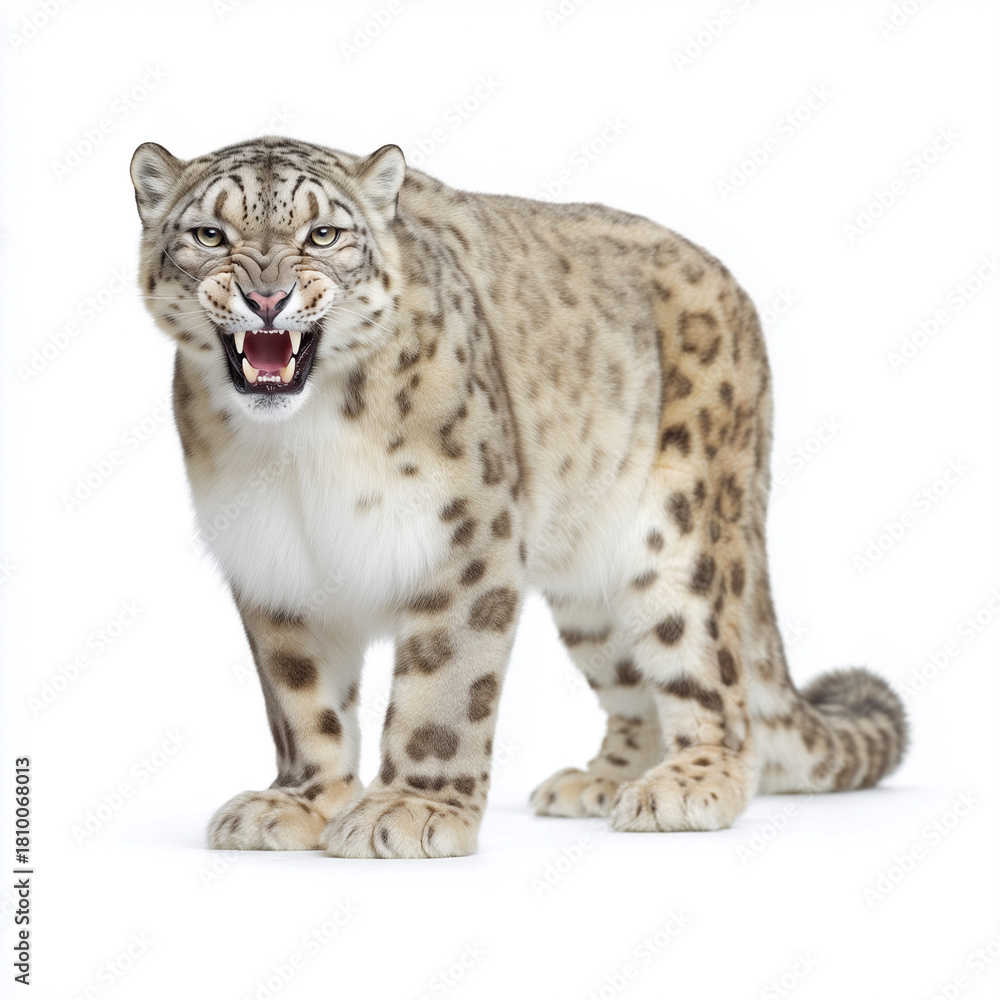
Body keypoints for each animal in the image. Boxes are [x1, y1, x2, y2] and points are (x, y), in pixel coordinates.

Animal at [129, 135, 907, 858]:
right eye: (210, 235)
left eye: (322, 234)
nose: (267, 299)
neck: (297, 447)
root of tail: (735, 295)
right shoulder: (274, 563)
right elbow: (301, 699)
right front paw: (300, 802)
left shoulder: (465, 536)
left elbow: (443, 691)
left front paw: (409, 811)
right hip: (589, 595)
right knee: (635, 685)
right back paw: (603, 781)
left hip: (681, 538)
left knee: (713, 679)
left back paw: (687, 787)